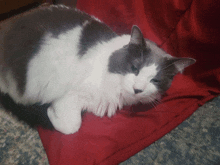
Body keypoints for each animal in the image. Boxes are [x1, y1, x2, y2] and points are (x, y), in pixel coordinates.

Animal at [0, 4, 196, 135]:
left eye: (155, 80)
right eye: (135, 68)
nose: (137, 89)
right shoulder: (68, 95)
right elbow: (72, 126)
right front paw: (50, 113)